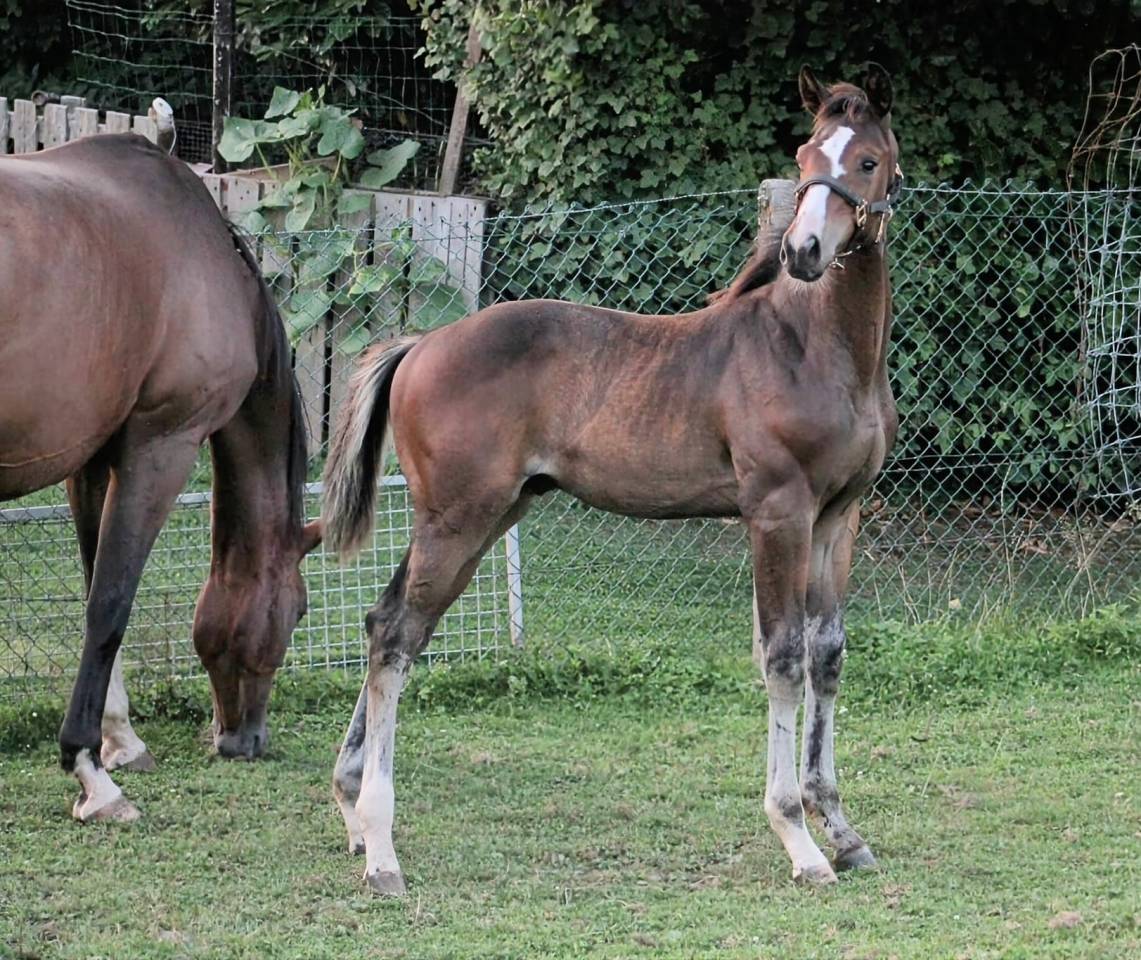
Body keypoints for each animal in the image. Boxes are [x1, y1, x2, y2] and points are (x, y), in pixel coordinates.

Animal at [0, 133, 321, 822]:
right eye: (299, 611)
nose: (246, 741)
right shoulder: (162, 448)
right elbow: (110, 606)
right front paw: (92, 773)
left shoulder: (93, 460)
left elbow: (95, 587)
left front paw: (120, 739)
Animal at [321, 63, 902, 893]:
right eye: (803, 155)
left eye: (866, 161)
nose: (804, 249)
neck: (817, 347)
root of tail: (423, 343)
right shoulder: (777, 513)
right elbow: (782, 659)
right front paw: (798, 839)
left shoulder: (838, 516)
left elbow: (826, 656)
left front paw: (843, 831)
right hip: (457, 518)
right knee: (395, 635)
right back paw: (381, 849)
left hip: (486, 516)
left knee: (391, 623)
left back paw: (351, 813)